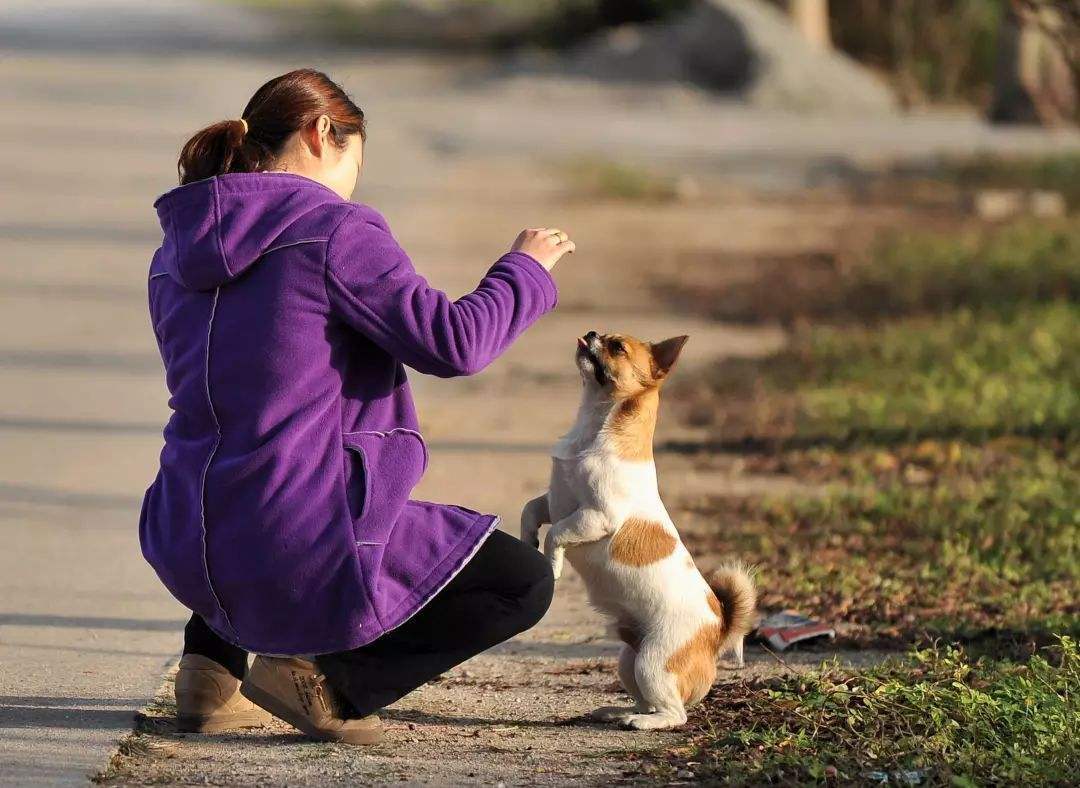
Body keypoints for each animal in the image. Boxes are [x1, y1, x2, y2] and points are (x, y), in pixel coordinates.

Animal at [518, 328, 756, 725]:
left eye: (617, 348)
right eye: (603, 334)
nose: (591, 333)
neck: (594, 426)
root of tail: (717, 629)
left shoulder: (595, 517)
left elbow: (557, 534)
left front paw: (551, 566)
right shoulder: (554, 501)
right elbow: (530, 512)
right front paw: (526, 542)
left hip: (652, 663)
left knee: (675, 714)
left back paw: (642, 721)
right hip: (629, 661)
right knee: (648, 700)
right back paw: (616, 711)